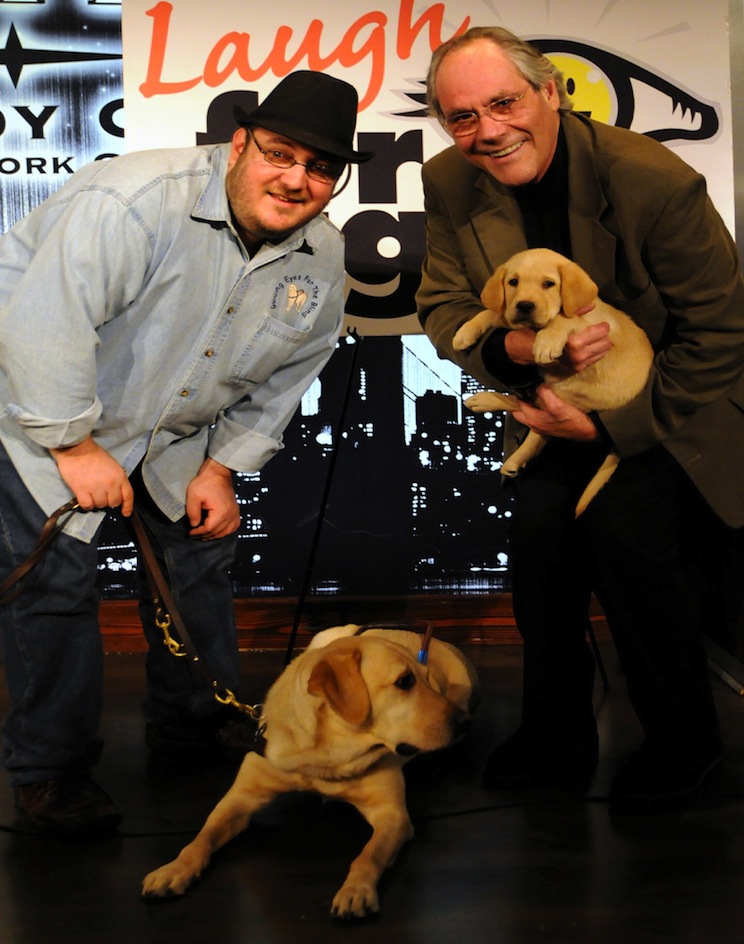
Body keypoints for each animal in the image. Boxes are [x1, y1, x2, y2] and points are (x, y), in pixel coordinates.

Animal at [140, 624, 480, 920]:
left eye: (426, 680)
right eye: (405, 681)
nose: (465, 724)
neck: (327, 757)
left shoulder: (392, 815)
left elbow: (367, 855)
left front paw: (356, 889)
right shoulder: (239, 799)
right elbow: (201, 838)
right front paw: (174, 869)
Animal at [450, 249, 652, 516]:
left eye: (549, 284)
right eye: (513, 282)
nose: (525, 305)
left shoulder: (591, 325)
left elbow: (564, 318)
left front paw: (547, 341)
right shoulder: (512, 318)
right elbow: (494, 312)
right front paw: (466, 331)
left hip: (561, 394)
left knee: (532, 415)